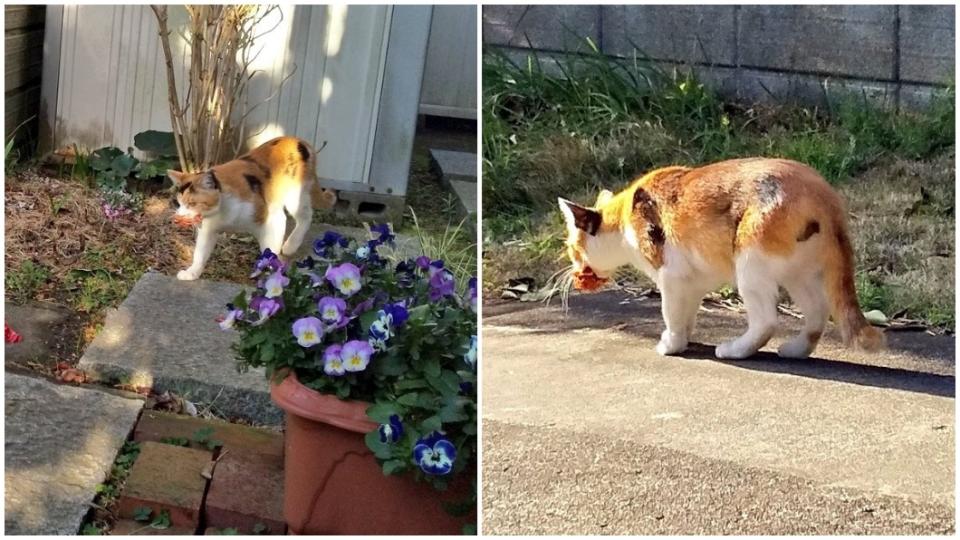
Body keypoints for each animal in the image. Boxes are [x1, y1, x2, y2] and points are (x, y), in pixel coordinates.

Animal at [169, 135, 338, 280]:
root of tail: (298, 140)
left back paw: (290, 246)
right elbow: (200, 253)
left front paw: (270, 277)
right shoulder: (208, 229)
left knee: (306, 215)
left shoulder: (273, 219)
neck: (221, 212)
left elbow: (270, 249)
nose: (179, 215)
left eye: (192, 203)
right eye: (179, 202)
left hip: (295, 195)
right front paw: (191, 273)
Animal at [564, 157, 884, 358]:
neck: (625, 218)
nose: (574, 268)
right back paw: (795, 350)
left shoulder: (671, 276)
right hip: (798, 271)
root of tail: (824, 195)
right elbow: (686, 313)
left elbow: (671, 312)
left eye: (572, 249)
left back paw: (735, 350)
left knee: (766, 321)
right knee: (817, 311)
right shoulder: (694, 279)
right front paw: (683, 338)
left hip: (751, 261)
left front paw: (671, 344)